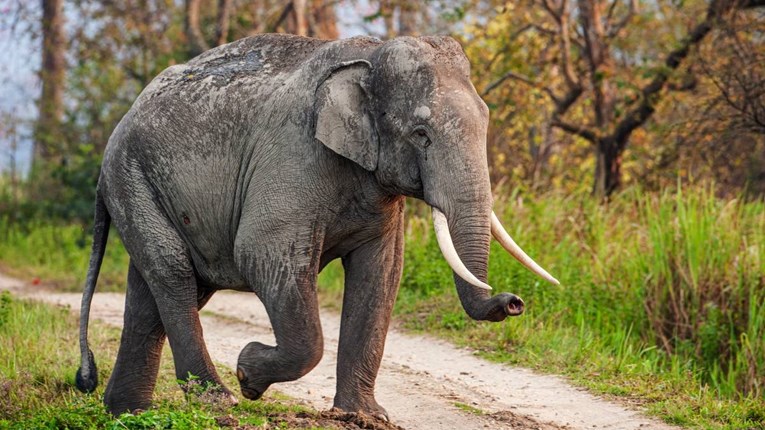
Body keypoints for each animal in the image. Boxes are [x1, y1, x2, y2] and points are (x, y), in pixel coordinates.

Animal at [76, 33, 556, 420]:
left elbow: (381, 275)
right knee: (175, 274)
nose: (514, 301)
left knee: (157, 292)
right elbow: (261, 253)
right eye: (421, 134)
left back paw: (127, 412)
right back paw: (217, 401)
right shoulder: (294, 157)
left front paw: (365, 417)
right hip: (130, 177)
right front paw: (248, 372)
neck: (370, 57)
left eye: (487, 119)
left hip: (143, 186)